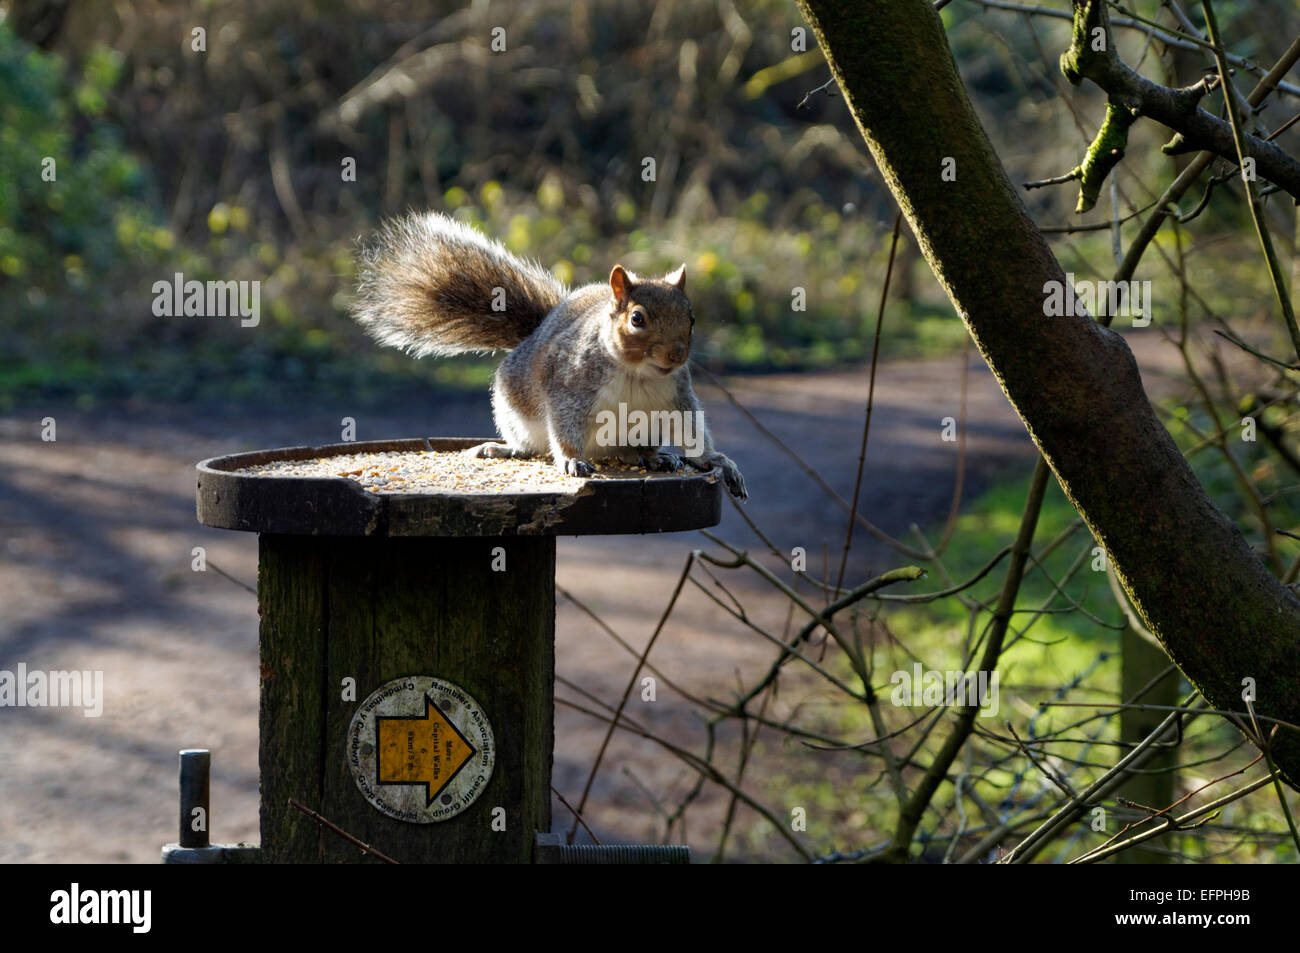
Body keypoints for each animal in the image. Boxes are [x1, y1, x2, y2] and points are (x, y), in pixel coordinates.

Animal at [351, 213, 748, 501]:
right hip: (517, 418)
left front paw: (718, 461)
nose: (677, 355)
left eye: (691, 318)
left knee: (633, 451)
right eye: (637, 319)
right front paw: (572, 458)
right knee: (528, 446)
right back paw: (503, 450)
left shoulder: (678, 396)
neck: (638, 371)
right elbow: (564, 423)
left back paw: (654, 456)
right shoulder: (570, 384)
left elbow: (692, 430)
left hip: (645, 428)